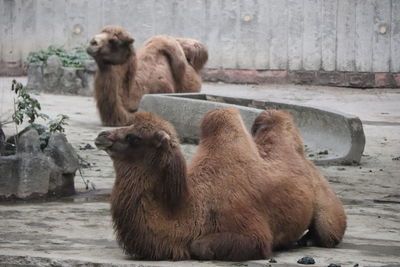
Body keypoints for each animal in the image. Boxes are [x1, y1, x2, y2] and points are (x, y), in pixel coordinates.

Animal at [95, 107, 346, 262]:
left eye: (134, 137)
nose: (101, 135)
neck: (196, 207)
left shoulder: (252, 232)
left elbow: (200, 246)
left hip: (327, 207)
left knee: (328, 232)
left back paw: (307, 239)